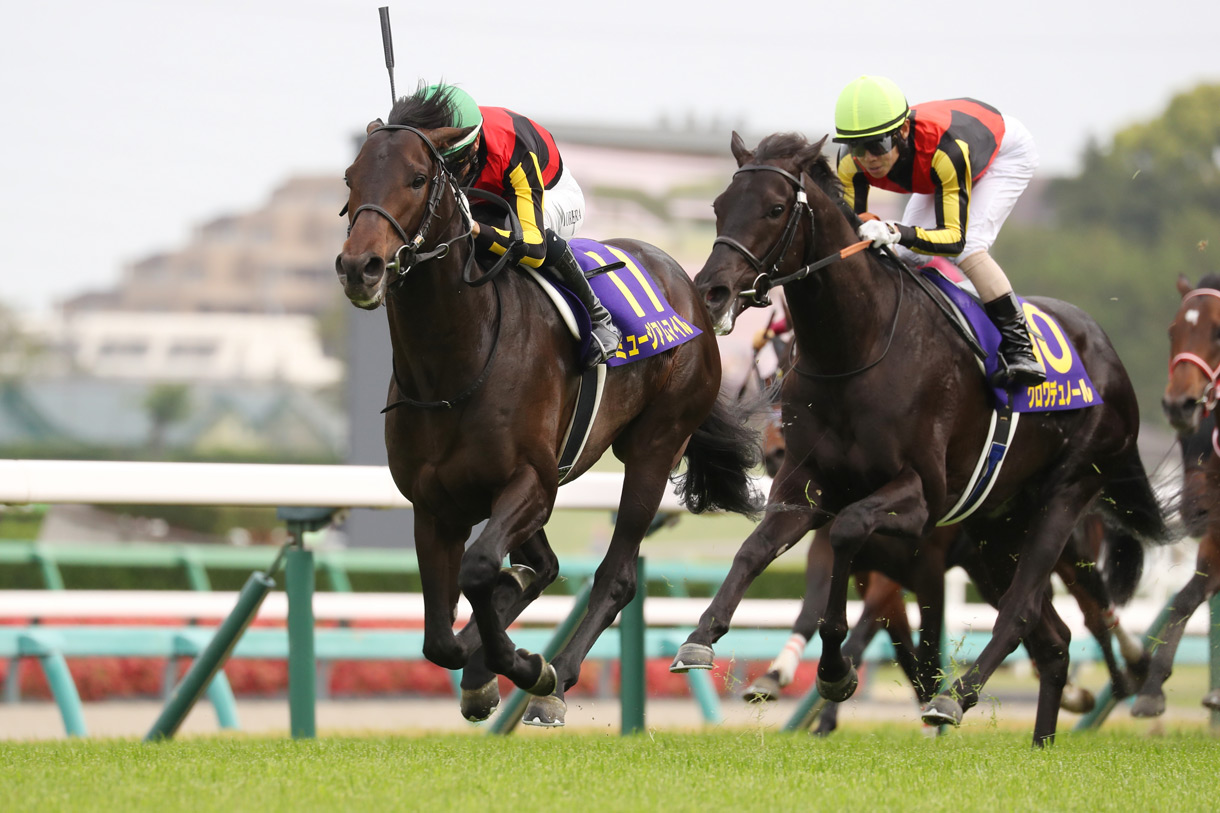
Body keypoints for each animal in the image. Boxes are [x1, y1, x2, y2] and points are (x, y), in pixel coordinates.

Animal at [334, 97, 762, 728]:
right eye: (350, 178)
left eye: (415, 178)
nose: (359, 266)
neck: (456, 363)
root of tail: (687, 285)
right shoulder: (434, 504)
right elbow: (440, 637)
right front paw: (483, 665)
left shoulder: (531, 482)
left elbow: (480, 569)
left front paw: (525, 666)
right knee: (546, 565)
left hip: (655, 446)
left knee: (615, 575)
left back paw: (554, 679)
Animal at [669, 131, 1169, 746]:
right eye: (718, 206)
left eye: (776, 208)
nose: (712, 292)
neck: (857, 348)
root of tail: (1109, 355)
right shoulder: (806, 486)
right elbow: (755, 552)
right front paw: (702, 638)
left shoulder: (920, 502)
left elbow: (851, 539)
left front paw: (835, 673)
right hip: (996, 528)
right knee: (1052, 640)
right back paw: (1042, 741)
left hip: (1066, 496)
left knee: (1028, 611)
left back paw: (961, 699)